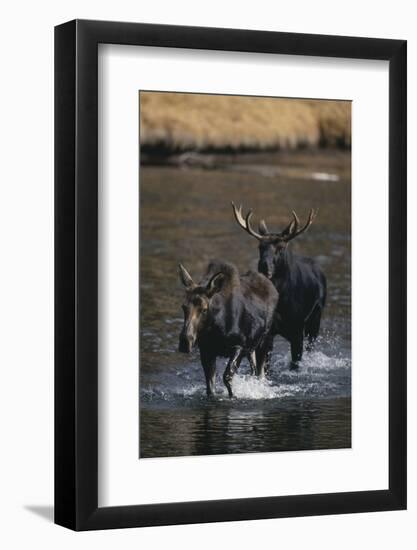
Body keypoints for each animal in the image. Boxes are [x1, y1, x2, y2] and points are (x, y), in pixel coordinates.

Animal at [177, 260, 278, 398]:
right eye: (183, 307)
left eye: (204, 309)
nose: (185, 341)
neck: (216, 328)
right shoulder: (207, 351)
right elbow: (210, 387)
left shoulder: (239, 346)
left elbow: (227, 377)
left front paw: (233, 396)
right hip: (252, 348)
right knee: (253, 370)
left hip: (265, 342)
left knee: (261, 374)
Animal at [231, 204, 324, 370]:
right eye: (260, 247)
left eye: (280, 247)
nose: (263, 265)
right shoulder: (268, 332)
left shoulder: (297, 330)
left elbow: (295, 363)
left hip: (315, 319)